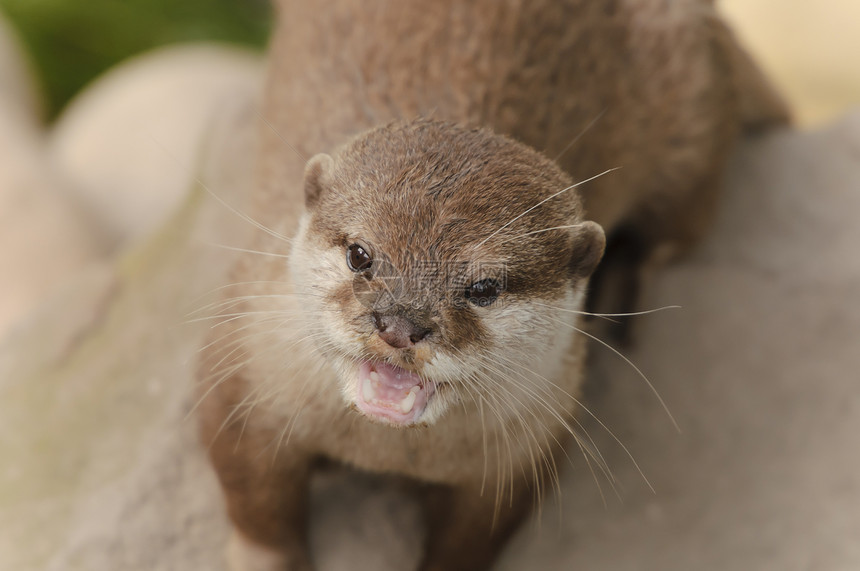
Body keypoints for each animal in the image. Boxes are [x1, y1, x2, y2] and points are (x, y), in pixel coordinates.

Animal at [197, 2, 788, 568]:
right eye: (360, 255)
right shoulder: (242, 370)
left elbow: (471, 541)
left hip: (692, 109)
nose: (399, 325)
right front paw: (261, 557)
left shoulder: (528, 451)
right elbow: (255, 497)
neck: (385, 449)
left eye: (483, 288)